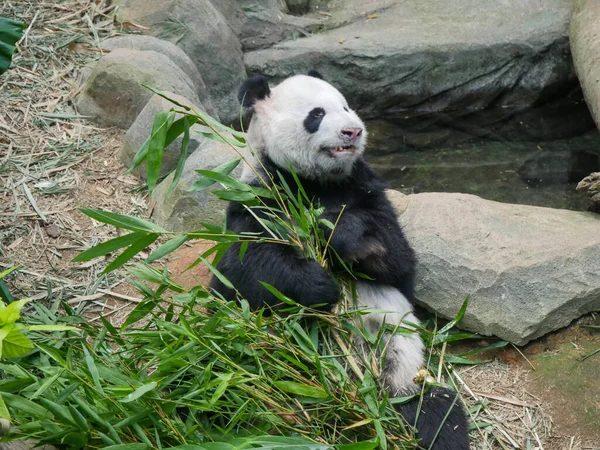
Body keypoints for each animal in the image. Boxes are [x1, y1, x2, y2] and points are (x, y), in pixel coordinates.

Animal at [209, 72, 472, 448]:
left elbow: (399, 261)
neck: (316, 182)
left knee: (438, 410)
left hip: (404, 375)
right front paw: (321, 285)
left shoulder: (364, 188)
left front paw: (340, 233)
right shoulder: (257, 195)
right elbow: (245, 267)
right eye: (316, 114)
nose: (353, 131)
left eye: (347, 106)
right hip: (240, 368)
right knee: (220, 380)